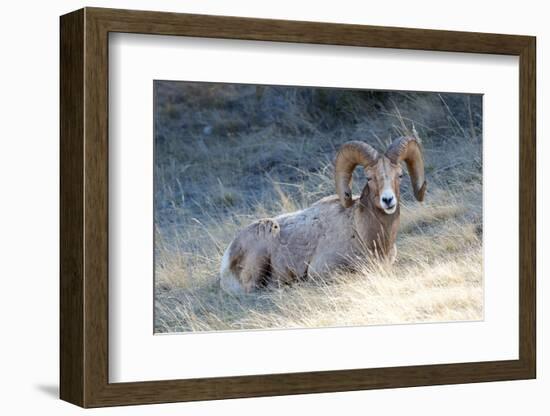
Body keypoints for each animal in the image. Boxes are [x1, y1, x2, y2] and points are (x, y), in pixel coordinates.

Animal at [220, 135, 426, 294]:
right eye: (369, 177)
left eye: (400, 175)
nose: (388, 200)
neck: (363, 233)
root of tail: (227, 257)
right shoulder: (322, 270)